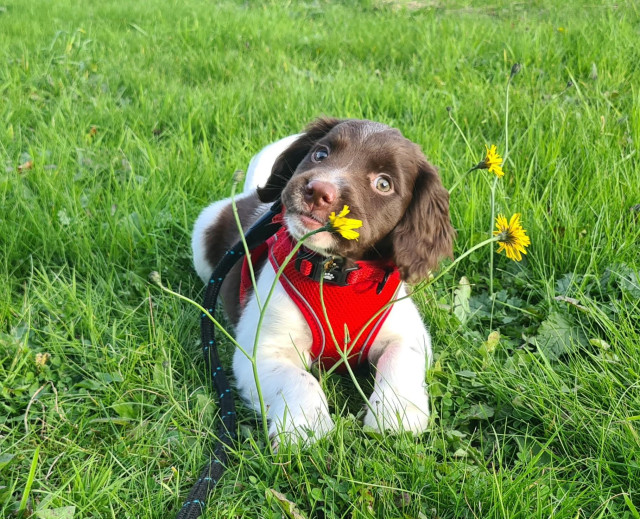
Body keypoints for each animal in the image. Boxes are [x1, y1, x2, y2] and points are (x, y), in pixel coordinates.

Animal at [191, 118, 456, 442]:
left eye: (383, 184)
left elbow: (400, 358)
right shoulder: (259, 352)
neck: (335, 276)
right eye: (320, 154)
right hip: (202, 235)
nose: (317, 191)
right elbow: (300, 379)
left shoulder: (407, 331)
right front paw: (306, 428)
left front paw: (396, 416)